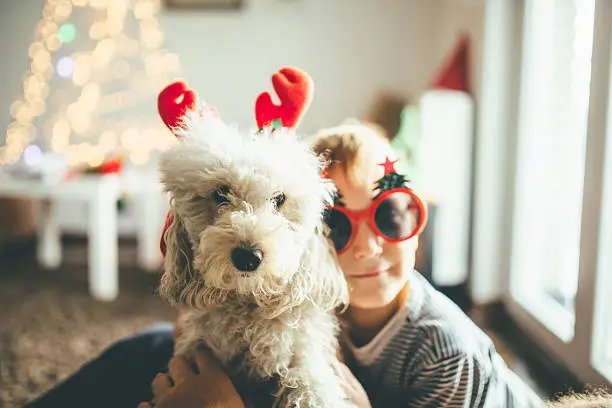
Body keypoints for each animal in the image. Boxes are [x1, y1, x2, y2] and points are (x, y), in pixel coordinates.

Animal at [154, 67, 354, 408]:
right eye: (220, 194)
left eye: (279, 199)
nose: (248, 257)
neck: (247, 311)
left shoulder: (303, 353)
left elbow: (309, 382)